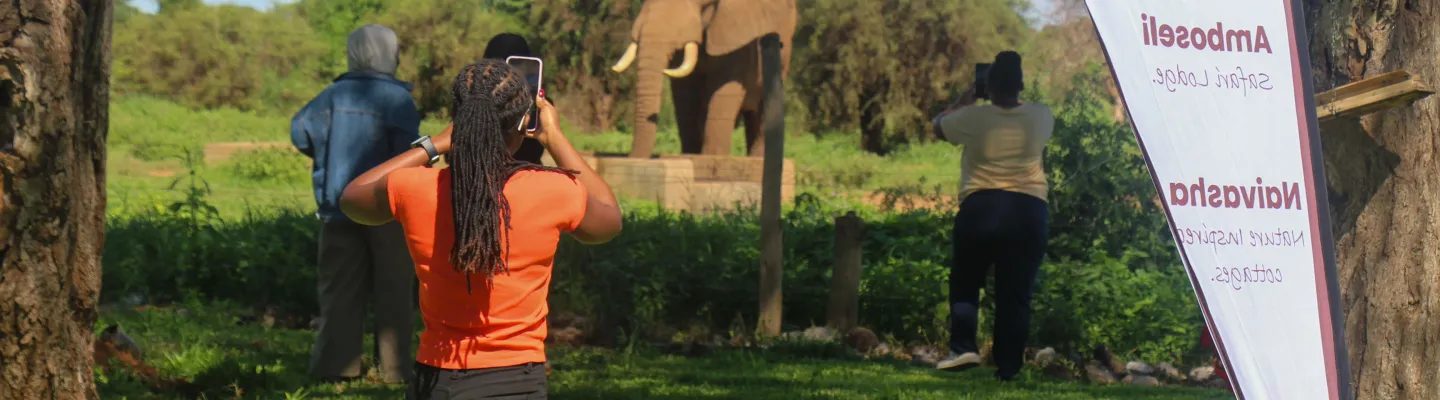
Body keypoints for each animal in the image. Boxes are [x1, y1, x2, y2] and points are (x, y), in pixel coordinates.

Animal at [611, 0, 796, 158]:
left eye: (704, 5)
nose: (632, 158)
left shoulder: (736, 36)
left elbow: (725, 92)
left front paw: (713, 159)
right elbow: (685, 95)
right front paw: (691, 157)